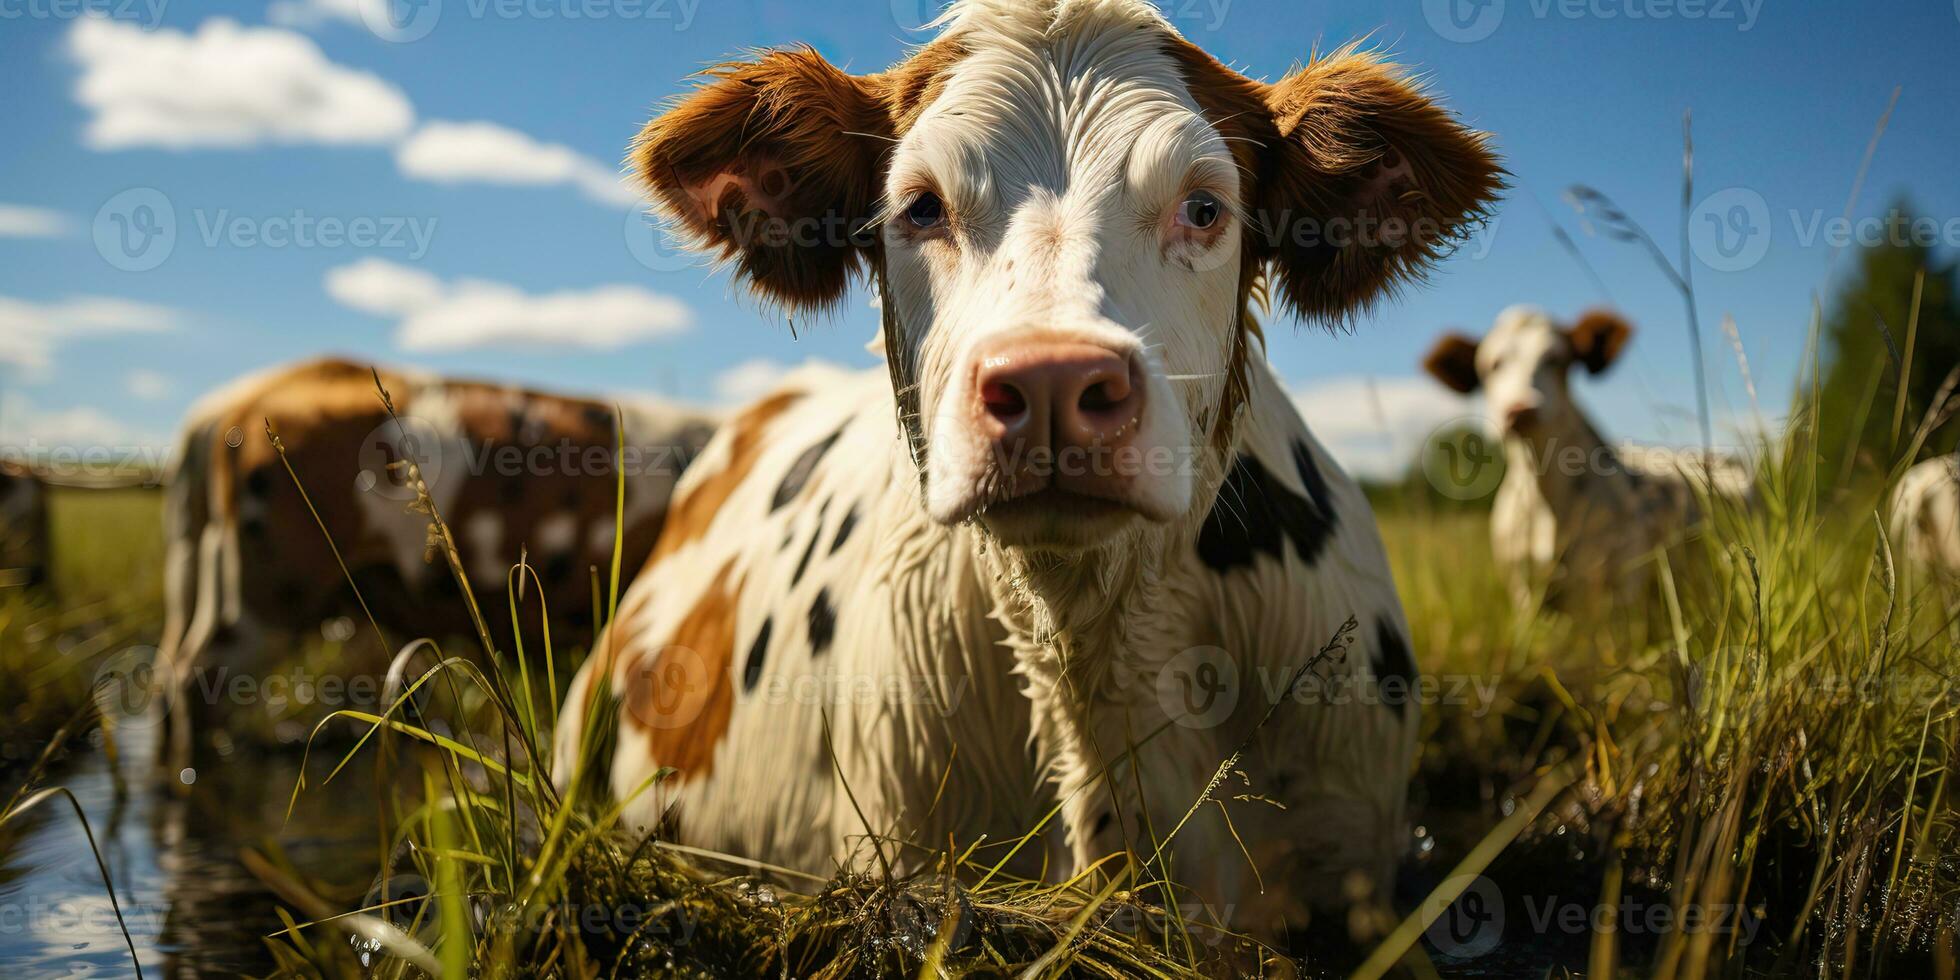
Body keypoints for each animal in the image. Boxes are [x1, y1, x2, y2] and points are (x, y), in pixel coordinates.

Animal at [1419, 305, 1756, 611]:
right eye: (1492, 364)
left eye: (1556, 359)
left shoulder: (1619, 588)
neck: (1546, 498)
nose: (1521, 409)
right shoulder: (1520, 585)